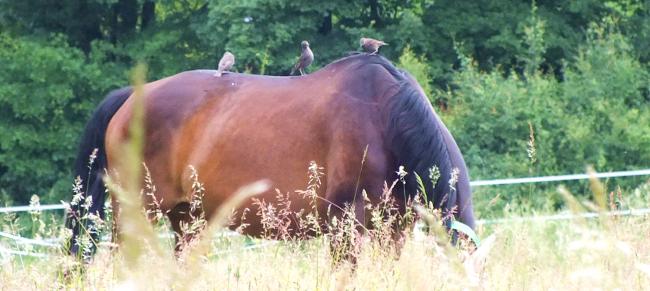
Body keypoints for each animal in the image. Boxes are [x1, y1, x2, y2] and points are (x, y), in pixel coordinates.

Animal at [67, 53, 476, 258]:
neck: (383, 114)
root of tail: (129, 99)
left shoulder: (393, 232)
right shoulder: (345, 229)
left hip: (188, 220)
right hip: (136, 214)